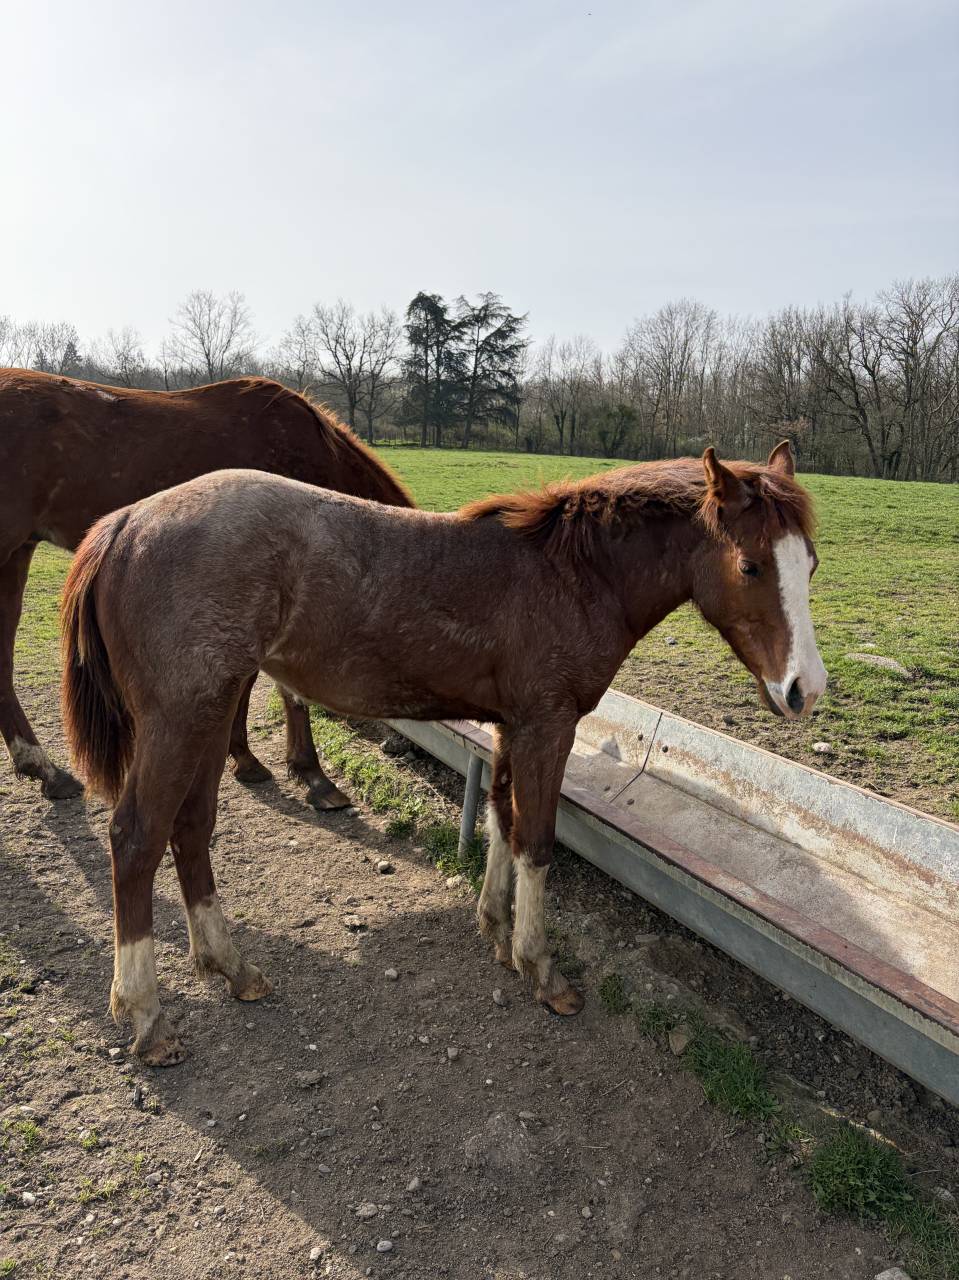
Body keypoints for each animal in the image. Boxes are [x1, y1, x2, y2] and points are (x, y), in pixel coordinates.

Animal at [0, 368, 413, 809]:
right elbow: (279, 687)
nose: (398, 746)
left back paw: (43, 769)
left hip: (16, 553)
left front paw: (245, 756)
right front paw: (311, 774)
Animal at [61, 441, 826, 1066]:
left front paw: (496, 931)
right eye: (751, 565)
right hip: (180, 720)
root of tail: (125, 523)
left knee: (191, 828)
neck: (572, 575)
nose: (804, 690)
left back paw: (230, 967)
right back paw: (147, 1016)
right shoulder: (548, 726)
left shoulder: (513, 726)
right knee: (137, 837)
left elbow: (501, 818)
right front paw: (540, 968)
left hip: (212, 714)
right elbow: (536, 839)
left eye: (810, 563)